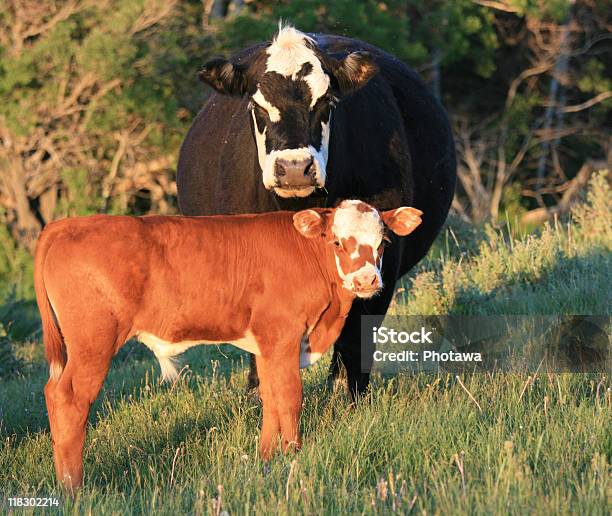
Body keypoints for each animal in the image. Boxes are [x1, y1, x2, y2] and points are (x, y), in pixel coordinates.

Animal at [35, 200, 424, 490]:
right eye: (337, 242)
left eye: (383, 243)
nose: (367, 280)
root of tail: (66, 225)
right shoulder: (284, 334)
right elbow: (290, 396)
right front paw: (294, 453)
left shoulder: (267, 342)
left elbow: (271, 397)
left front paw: (268, 457)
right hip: (93, 341)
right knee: (68, 398)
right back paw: (73, 487)